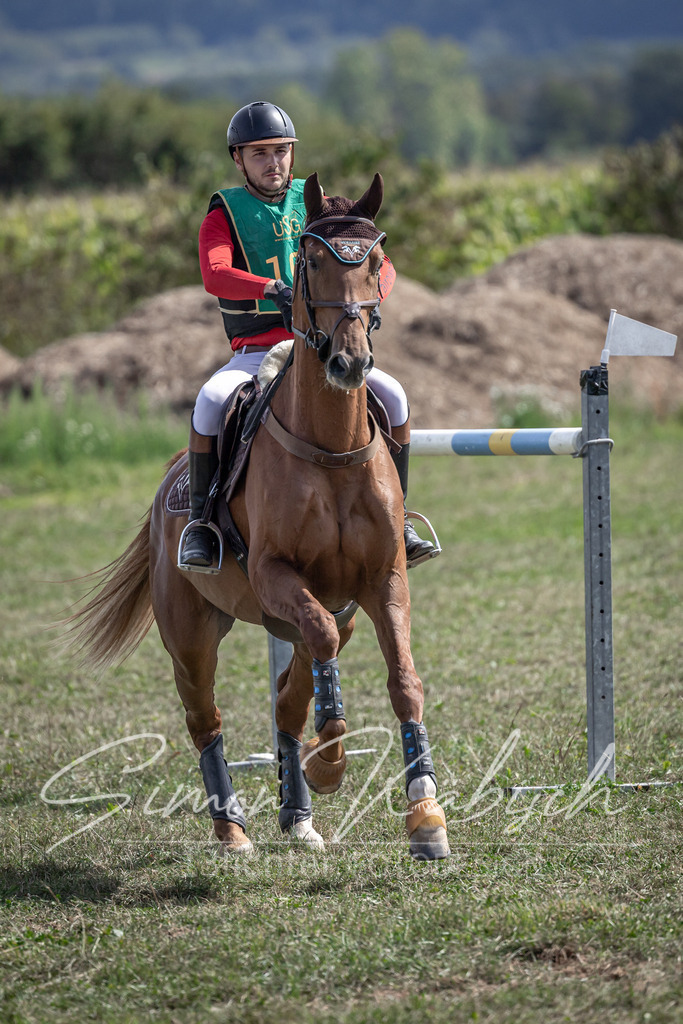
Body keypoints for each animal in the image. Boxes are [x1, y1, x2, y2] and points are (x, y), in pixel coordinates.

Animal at [68, 171, 450, 861]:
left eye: (374, 260)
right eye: (312, 260)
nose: (350, 363)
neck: (330, 449)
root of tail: (167, 487)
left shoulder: (383, 581)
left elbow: (403, 680)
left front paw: (425, 815)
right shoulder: (277, 575)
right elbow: (319, 646)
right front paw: (331, 764)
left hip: (316, 614)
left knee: (287, 701)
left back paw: (297, 815)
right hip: (192, 634)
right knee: (207, 719)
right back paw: (232, 827)